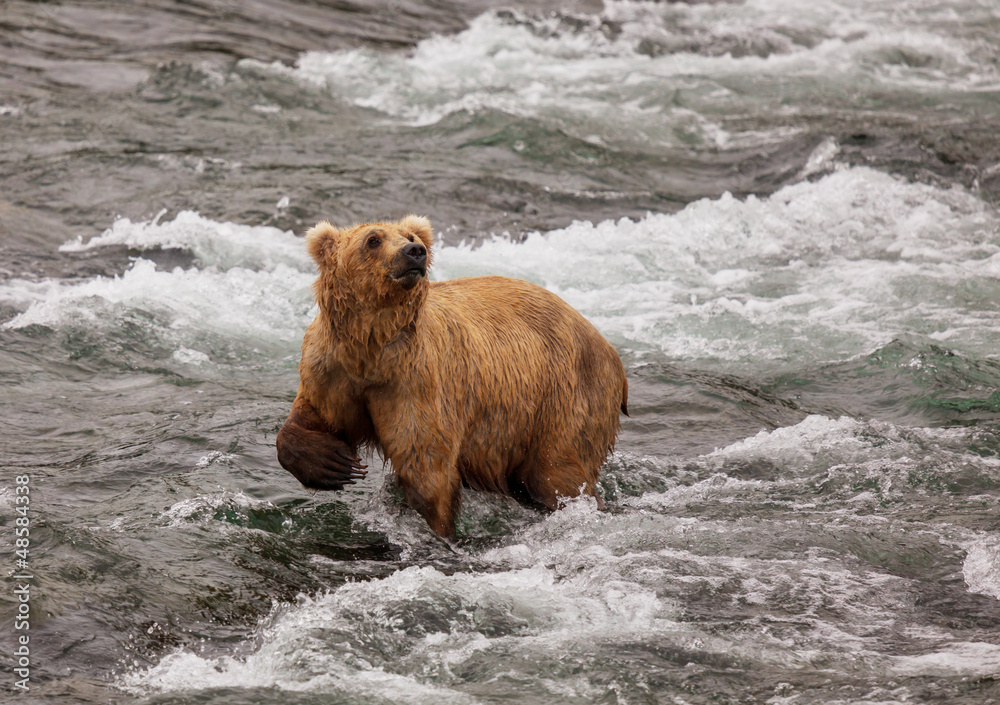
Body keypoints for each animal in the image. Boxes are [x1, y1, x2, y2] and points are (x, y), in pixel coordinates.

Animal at [276, 215, 628, 538]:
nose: (414, 251)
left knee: (558, 472)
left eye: (411, 236)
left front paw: (438, 530)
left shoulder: (416, 381)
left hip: (566, 394)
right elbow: (313, 417)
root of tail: (606, 344)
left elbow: (426, 467)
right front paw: (332, 463)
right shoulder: (333, 370)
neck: (372, 347)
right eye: (373, 239)